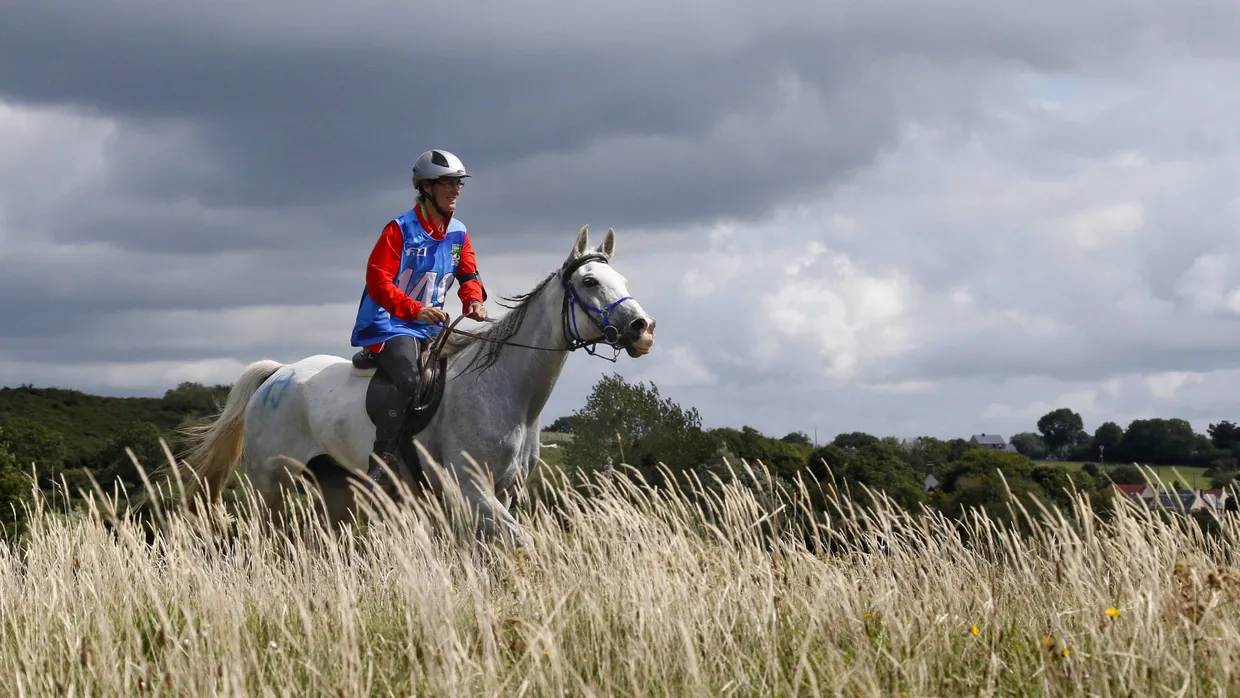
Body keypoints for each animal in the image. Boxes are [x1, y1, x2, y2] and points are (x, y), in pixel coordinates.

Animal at [170, 225, 656, 547]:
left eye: (623, 281)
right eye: (589, 281)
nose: (643, 329)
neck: (506, 391)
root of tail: (279, 373)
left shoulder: (504, 493)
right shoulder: (473, 490)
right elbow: (521, 543)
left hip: (336, 489)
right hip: (269, 485)